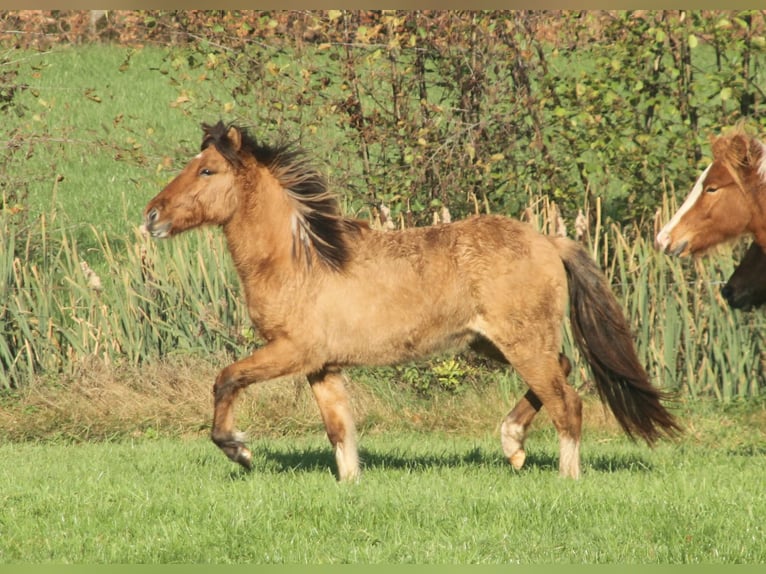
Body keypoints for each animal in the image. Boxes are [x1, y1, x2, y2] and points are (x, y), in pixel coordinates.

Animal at [143, 121, 679, 480]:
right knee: (562, 372)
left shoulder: (291, 351)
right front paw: (350, 486)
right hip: (492, 342)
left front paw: (239, 449)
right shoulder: (321, 365)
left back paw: (566, 476)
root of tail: (549, 241)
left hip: (522, 342)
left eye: (207, 170)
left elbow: (226, 379)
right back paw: (513, 445)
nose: (151, 216)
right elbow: (339, 430)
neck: (301, 259)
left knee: (568, 402)